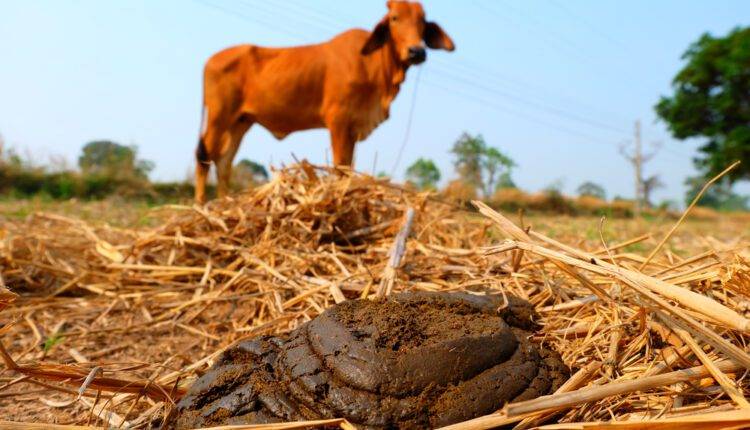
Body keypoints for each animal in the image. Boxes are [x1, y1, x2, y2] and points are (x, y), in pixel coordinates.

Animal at [194, 0, 452, 202]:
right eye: (395, 18)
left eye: (422, 20)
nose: (417, 51)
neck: (375, 68)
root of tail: (210, 60)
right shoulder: (338, 121)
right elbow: (339, 167)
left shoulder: (353, 127)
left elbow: (348, 167)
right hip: (219, 117)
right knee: (204, 156)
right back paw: (200, 204)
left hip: (241, 121)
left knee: (224, 161)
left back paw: (224, 202)